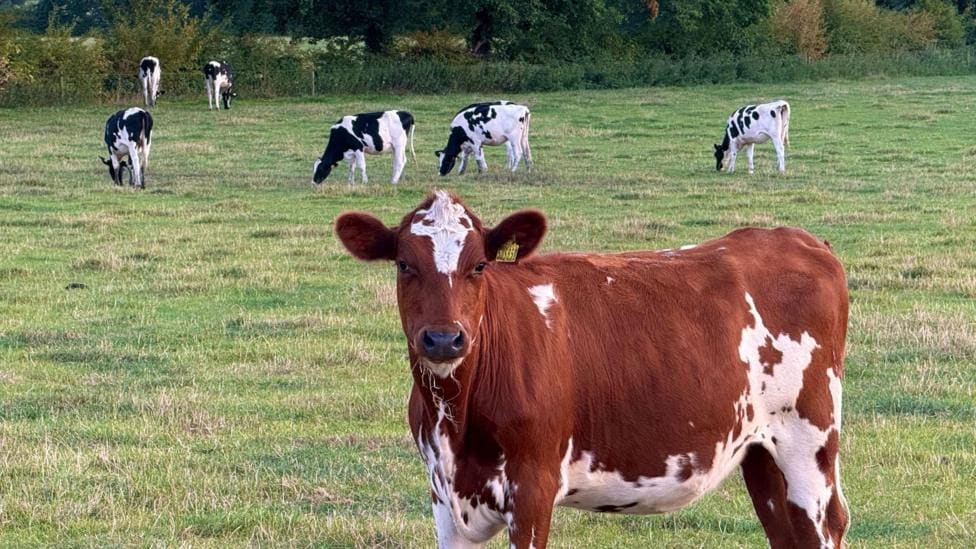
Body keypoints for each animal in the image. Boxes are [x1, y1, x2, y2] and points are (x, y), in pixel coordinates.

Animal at [335, 191, 850, 549]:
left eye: (479, 265)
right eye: (404, 264)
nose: (444, 338)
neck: (455, 419)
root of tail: (797, 238)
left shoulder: (533, 486)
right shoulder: (444, 496)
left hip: (810, 440)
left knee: (827, 523)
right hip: (761, 450)